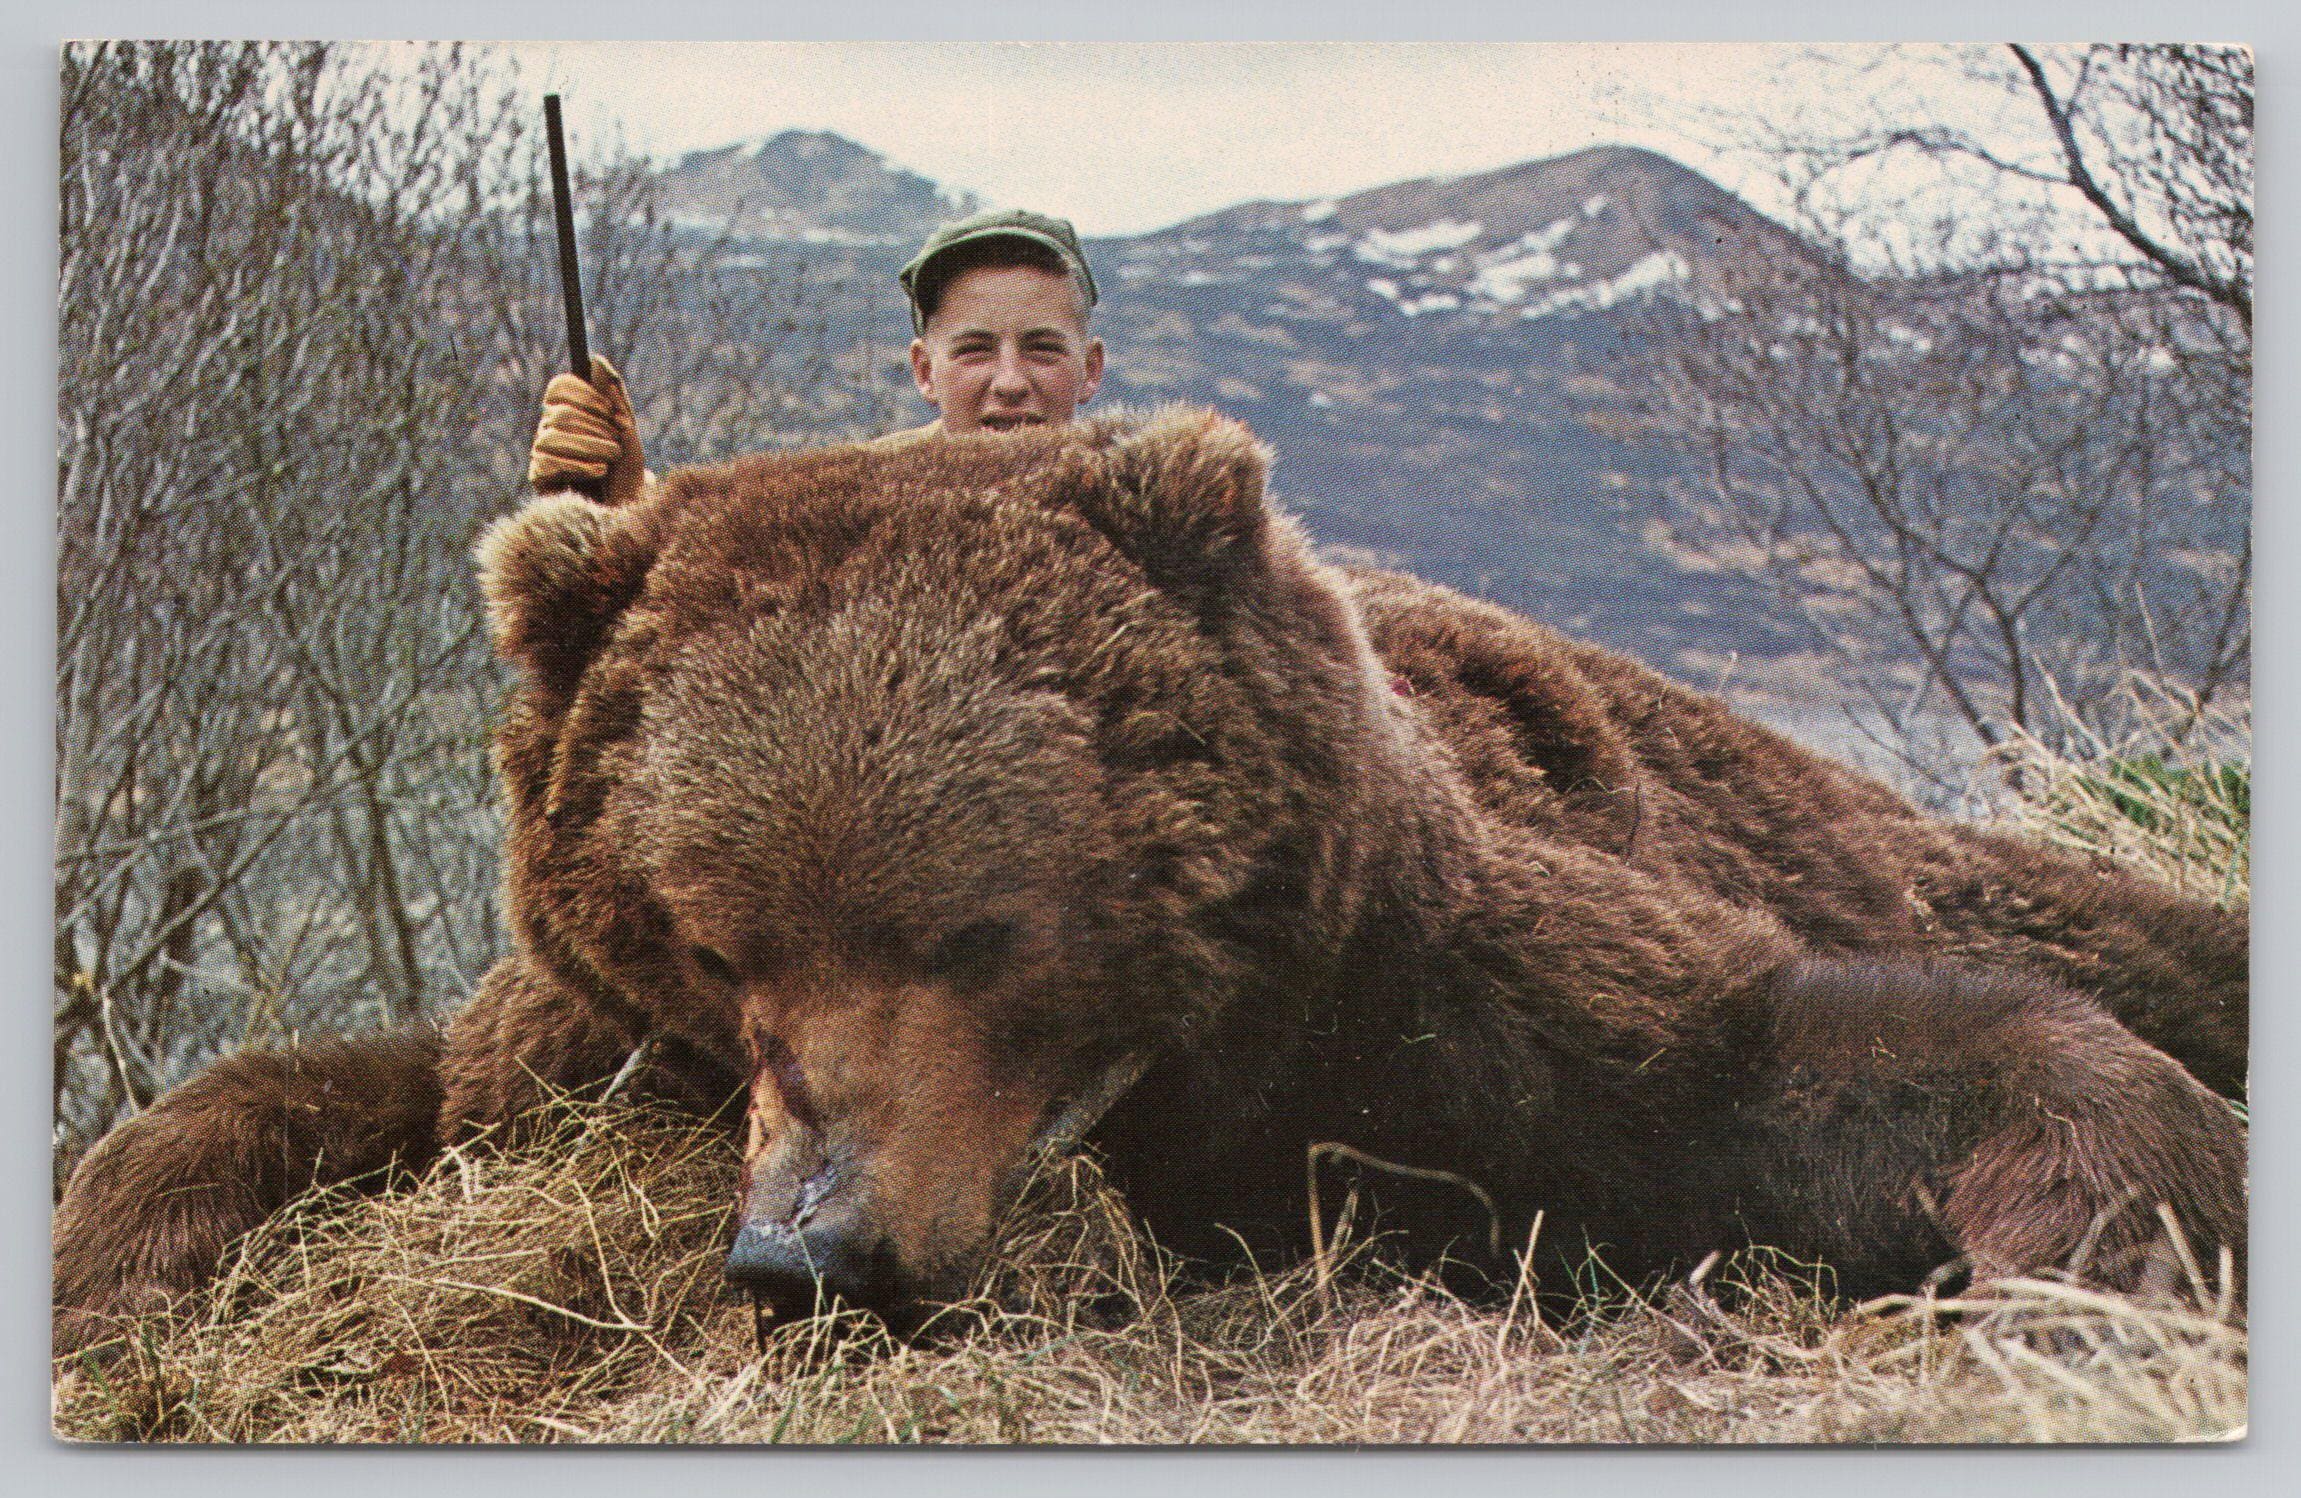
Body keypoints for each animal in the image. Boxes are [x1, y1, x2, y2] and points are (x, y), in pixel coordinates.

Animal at [52, 407, 2248, 1356]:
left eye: (979, 923)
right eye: (715, 934)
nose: (810, 1250)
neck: (1159, 1085)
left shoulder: (1421, 990)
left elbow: (1767, 1058)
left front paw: (2093, 1220)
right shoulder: (568, 1051)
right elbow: (339, 1093)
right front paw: (112, 1263)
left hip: (1839, 823)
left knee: (2074, 916)